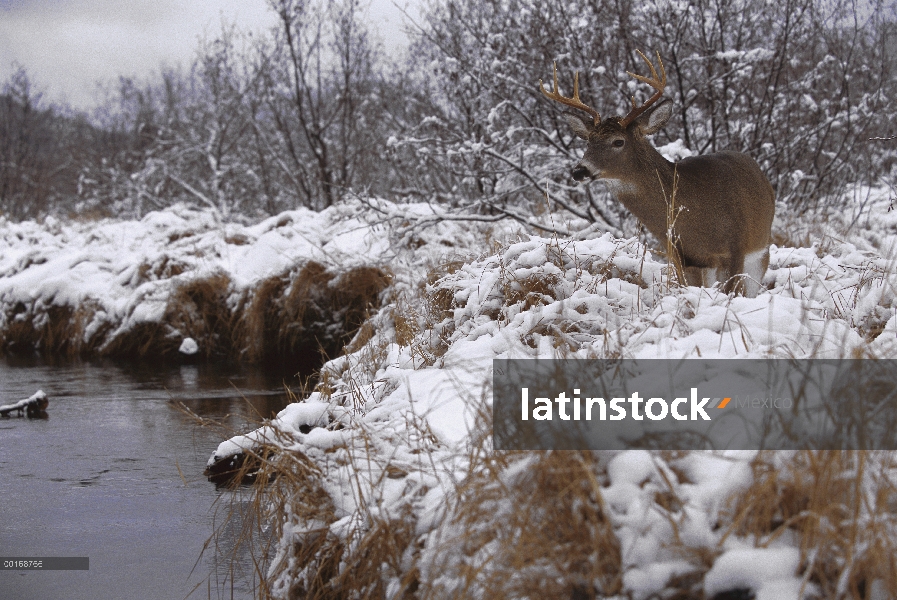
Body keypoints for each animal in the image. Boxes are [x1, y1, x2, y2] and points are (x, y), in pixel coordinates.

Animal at [544, 50, 772, 296]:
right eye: (588, 141)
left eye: (618, 141)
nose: (579, 171)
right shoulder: (680, 255)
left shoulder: (737, 246)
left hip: (761, 249)